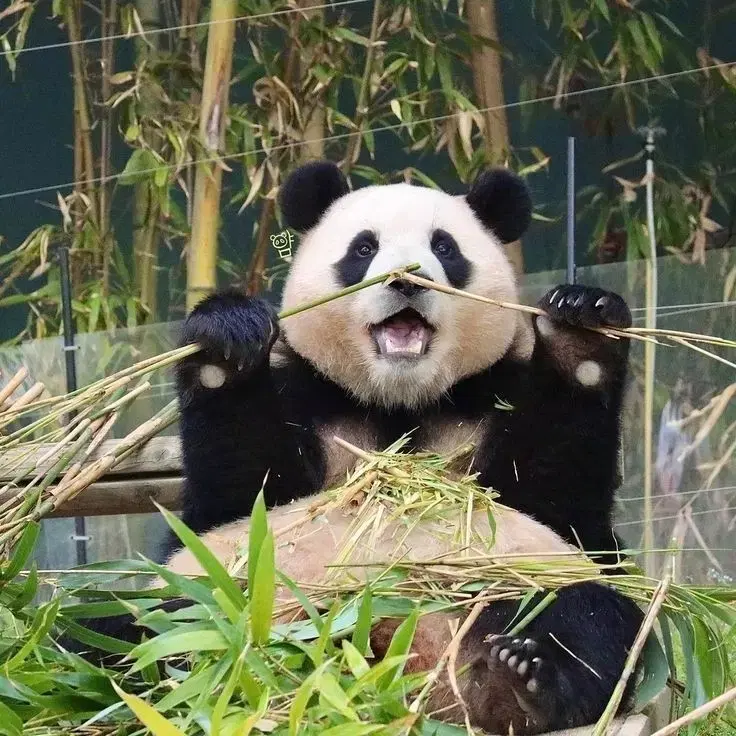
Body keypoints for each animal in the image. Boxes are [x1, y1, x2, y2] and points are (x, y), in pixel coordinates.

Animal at [66, 162, 648, 736]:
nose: (405, 279)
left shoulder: (491, 393)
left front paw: (581, 333)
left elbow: (555, 499)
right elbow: (239, 491)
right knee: (132, 625)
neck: (398, 398)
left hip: (507, 580)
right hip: (231, 590)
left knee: (586, 617)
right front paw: (226, 341)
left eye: (445, 248)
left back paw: (522, 684)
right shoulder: (308, 394)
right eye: (364, 248)